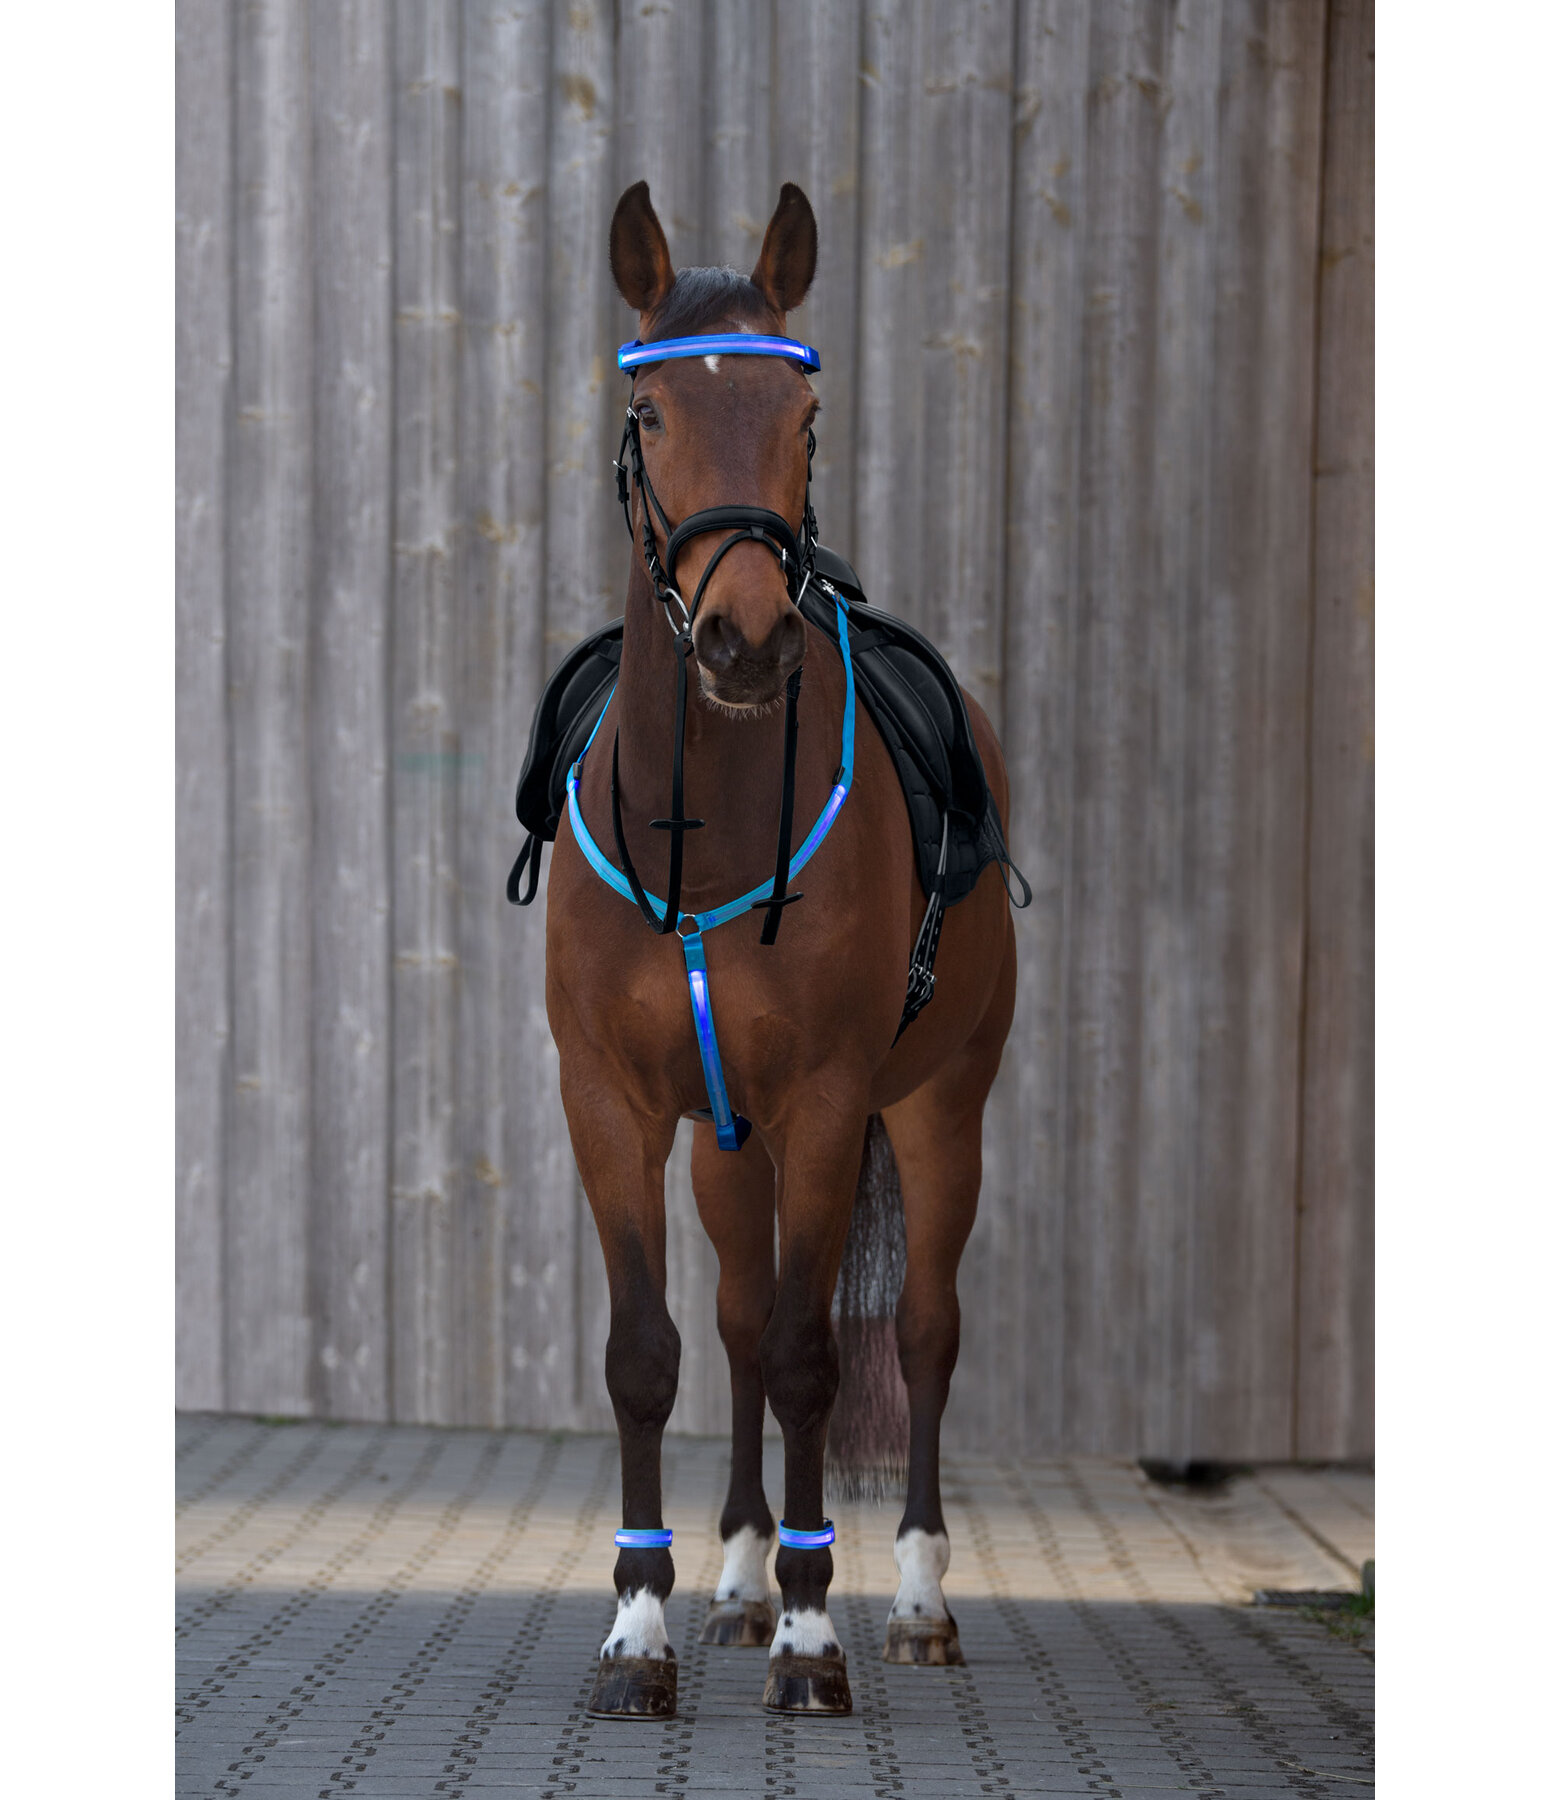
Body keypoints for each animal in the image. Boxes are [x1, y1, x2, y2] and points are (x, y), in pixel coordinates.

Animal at [534, 179, 1017, 1718]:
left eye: (804, 418)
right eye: (649, 415)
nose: (746, 641)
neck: (711, 825)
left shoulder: (821, 1105)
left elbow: (817, 1357)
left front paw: (814, 1639)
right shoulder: (614, 1110)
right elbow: (653, 1356)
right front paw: (640, 1632)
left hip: (936, 1111)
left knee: (918, 1333)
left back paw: (911, 1602)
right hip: (723, 1147)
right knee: (741, 1321)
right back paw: (741, 1580)